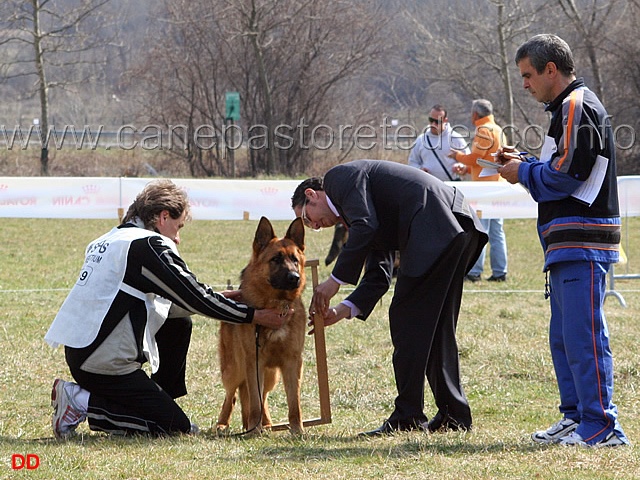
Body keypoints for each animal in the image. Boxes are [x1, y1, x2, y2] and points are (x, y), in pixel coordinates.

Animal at [216, 218, 306, 436]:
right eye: (275, 259)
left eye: (295, 260)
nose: (294, 277)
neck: (277, 305)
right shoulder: (254, 361)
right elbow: (254, 402)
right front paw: (253, 432)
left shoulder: (292, 362)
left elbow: (294, 403)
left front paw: (297, 431)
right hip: (234, 370)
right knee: (232, 395)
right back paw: (225, 424)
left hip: (270, 375)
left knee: (261, 396)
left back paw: (265, 424)